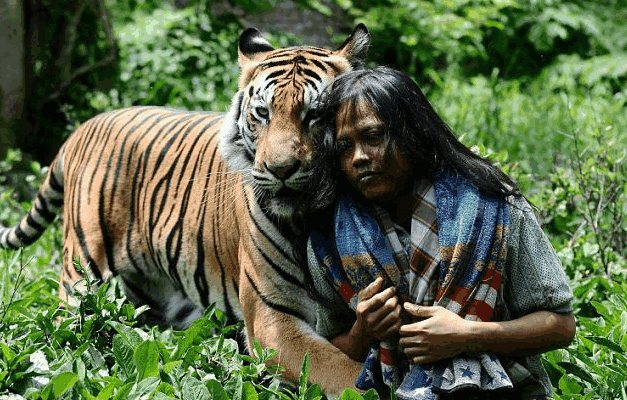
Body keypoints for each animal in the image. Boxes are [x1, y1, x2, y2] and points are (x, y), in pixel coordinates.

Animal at [0, 25, 368, 396]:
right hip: (83, 276)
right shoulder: (272, 320)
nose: (280, 169)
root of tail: (85, 126)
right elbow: (341, 371)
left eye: (315, 114)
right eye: (263, 113)